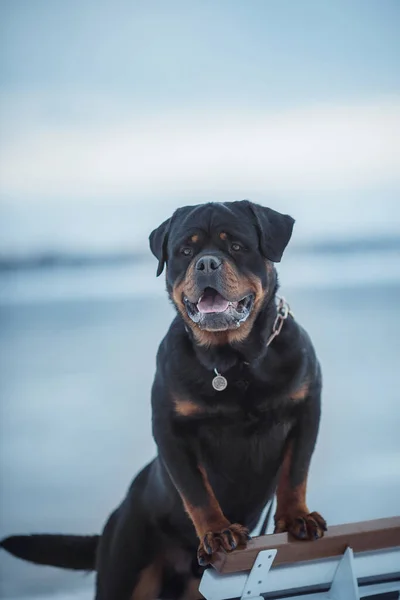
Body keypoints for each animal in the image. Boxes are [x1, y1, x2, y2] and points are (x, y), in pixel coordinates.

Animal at [0, 202, 324, 600]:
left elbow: (295, 473)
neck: (233, 362)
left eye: (236, 246)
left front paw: (296, 517)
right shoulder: (171, 429)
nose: (206, 263)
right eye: (185, 251)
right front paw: (218, 530)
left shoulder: (306, 407)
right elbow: (196, 490)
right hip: (124, 568)